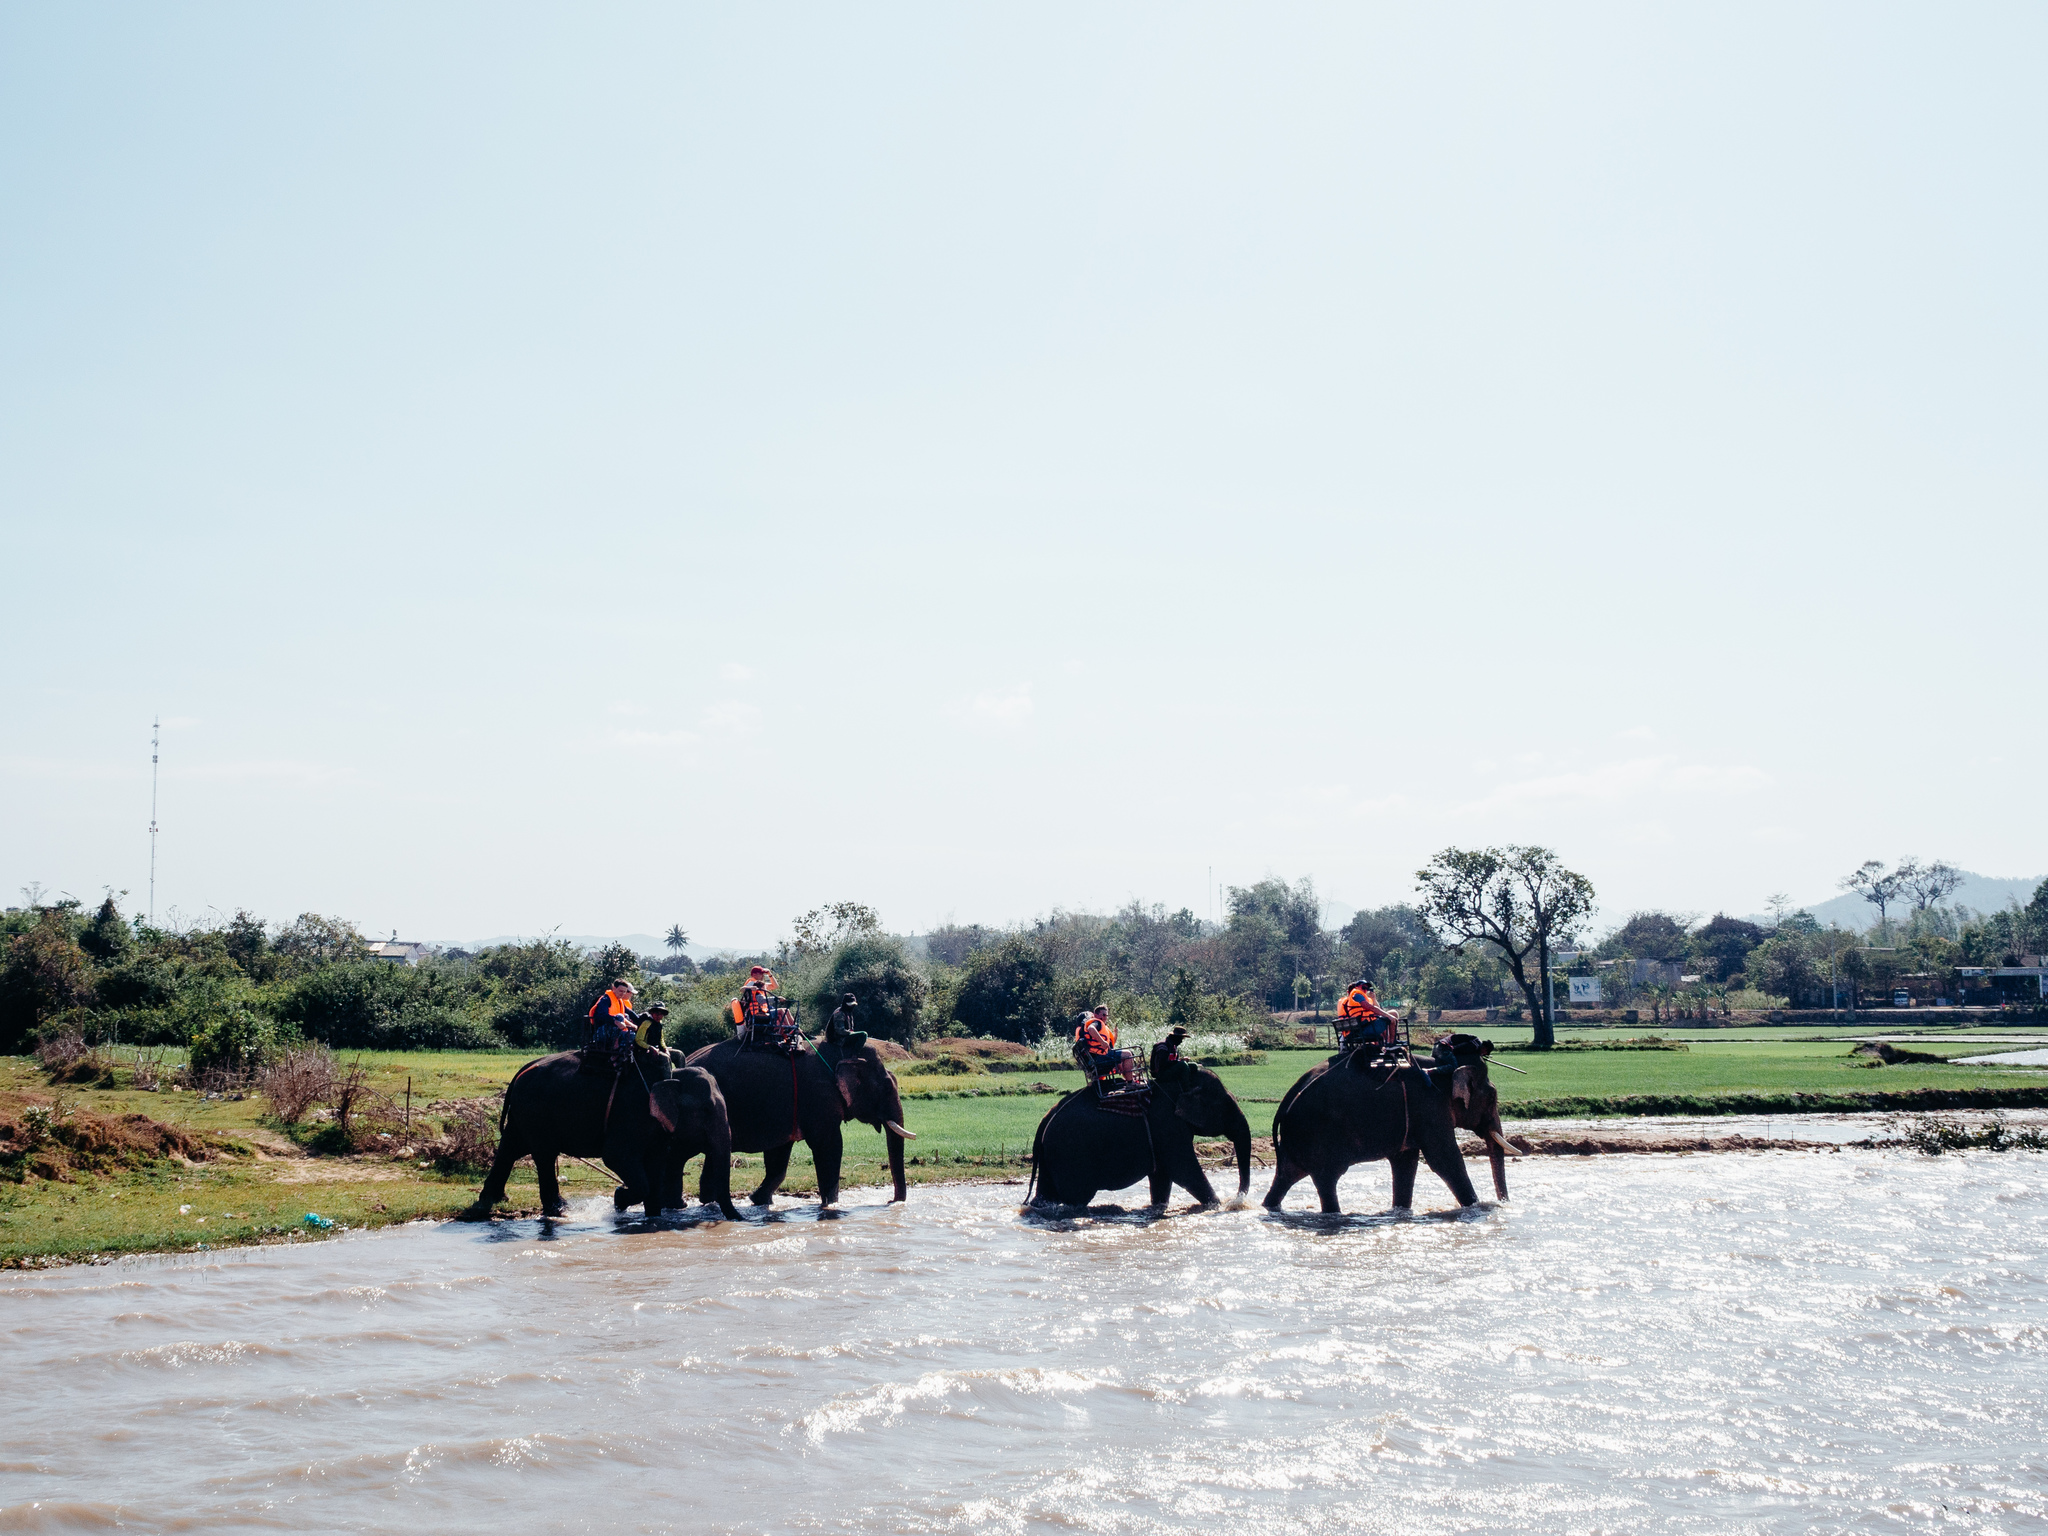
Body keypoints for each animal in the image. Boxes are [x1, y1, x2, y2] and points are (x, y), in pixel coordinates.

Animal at [475, 1056, 741, 1220]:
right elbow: (615, 1157)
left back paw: (494, 1199)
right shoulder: (631, 1114)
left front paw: (652, 1217)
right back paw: (560, 1208)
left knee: (511, 1148)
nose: (738, 1220)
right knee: (543, 1154)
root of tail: (521, 1071)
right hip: (535, 1111)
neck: (670, 1075)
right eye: (707, 1110)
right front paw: (619, 1198)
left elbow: (655, 1164)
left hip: (523, 1113)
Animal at [679, 1040, 913, 1212]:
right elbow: (829, 1146)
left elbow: (778, 1156)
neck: (843, 1050)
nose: (891, 1202)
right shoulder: (819, 1097)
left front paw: (759, 1201)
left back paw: (707, 1202)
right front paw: (830, 1206)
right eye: (885, 1087)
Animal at [1024, 1048, 1245, 1212]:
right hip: (1069, 1155)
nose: (1237, 1202)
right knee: (1076, 1197)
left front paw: (1157, 1207)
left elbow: (1162, 1175)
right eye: (1226, 1105)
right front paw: (1217, 1205)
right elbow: (1183, 1169)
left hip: (1051, 1155)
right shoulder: (1168, 1126)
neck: (1177, 1084)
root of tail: (1045, 1121)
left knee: (1046, 1193)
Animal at [1253, 1056, 1482, 1220]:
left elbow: (1405, 1161)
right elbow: (1443, 1160)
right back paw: (1334, 1216)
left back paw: (1269, 1207)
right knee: (1326, 1179)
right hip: (1316, 1135)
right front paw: (1478, 1208)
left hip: (1297, 1138)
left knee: (1287, 1176)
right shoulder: (1431, 1108)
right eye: (1489, 1096)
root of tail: (1286, 1102)